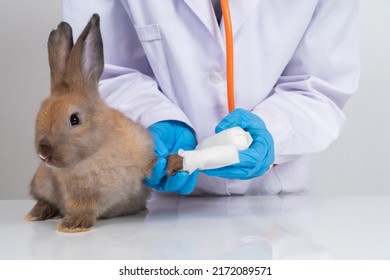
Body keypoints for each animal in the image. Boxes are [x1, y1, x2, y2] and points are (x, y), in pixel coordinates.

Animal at [25, 13, 161, 232]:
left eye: (74, 119)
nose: (44, 153)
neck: (97, 149)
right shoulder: (80, 196)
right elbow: (83, 208)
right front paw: (73, 225)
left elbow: (152, 166)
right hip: (42, 181)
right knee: (43, 199)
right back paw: (37, 214)